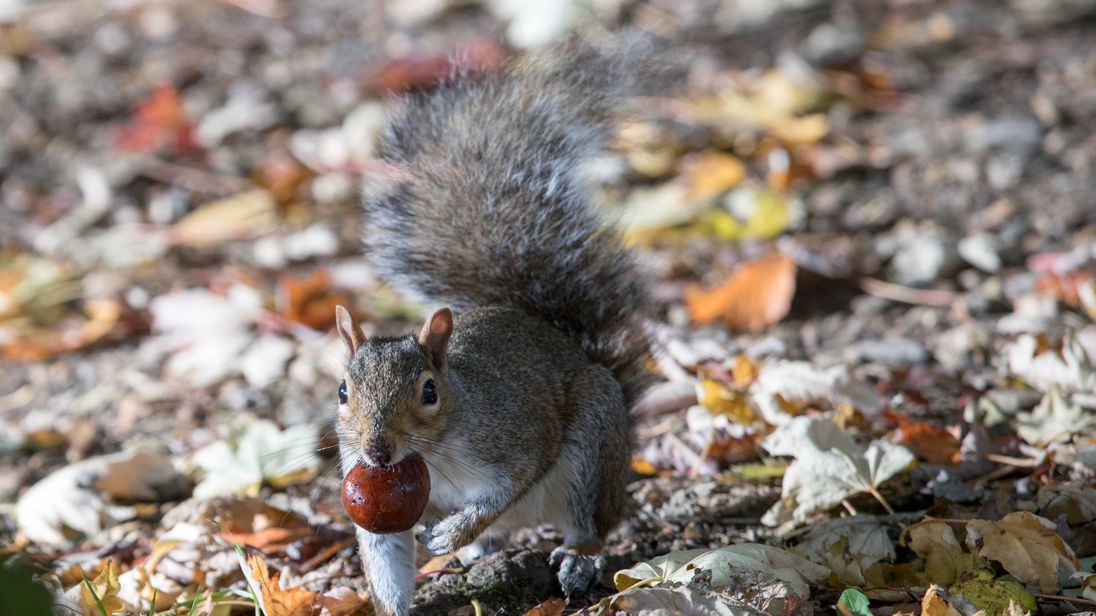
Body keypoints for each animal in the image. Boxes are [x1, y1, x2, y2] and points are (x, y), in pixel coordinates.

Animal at [333, 34, 653, 613]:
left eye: (429, 391)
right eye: (343, 392)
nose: (377, 450)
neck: (428, 456)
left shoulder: (515, 435)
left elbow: (506, 487)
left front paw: (453, 532)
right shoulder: (365, 493)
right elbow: (385, 558)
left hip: (593, 449)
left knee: (589, 524)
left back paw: (574, 559)